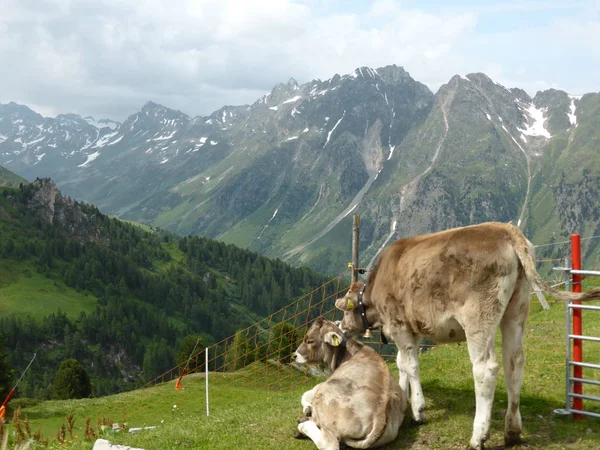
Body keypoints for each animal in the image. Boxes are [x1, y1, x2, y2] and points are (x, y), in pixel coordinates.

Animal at [292, 318, 406, 448]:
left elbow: (305, 394)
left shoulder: (323, 384)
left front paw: (307, 409)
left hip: (326, 392)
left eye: (309, 340)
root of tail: (380, 416)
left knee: (328, 443)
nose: (294, 355)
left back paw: (302, 426)